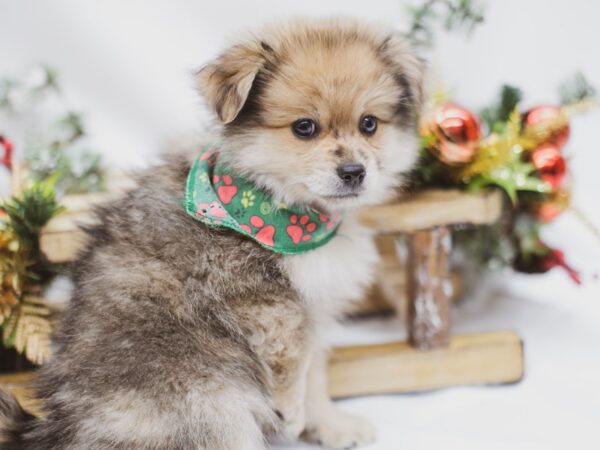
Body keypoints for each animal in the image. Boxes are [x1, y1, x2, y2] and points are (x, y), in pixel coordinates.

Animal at [0, 16, 422, 450]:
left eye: (369, 124)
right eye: (304, 128)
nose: (354, 172)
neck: (280, 207)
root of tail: (61, 430)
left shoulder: (316, 305)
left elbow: (316, 375)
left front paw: (331, 425)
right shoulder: (264, 303)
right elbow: (291, 361)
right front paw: (291, 414)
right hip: (211, 398)